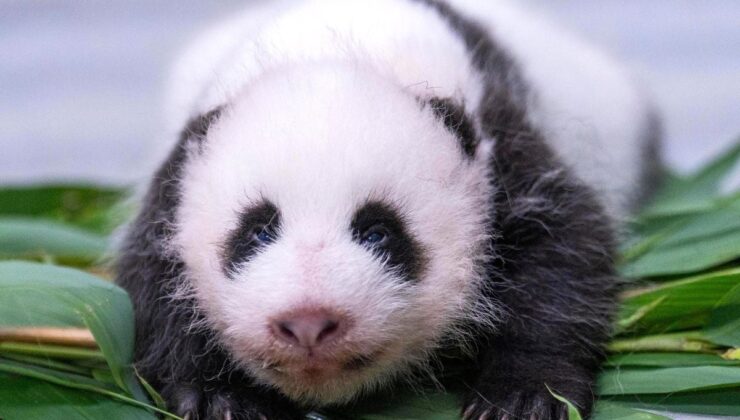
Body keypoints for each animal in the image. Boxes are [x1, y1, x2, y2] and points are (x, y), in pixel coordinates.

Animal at [116, 0, 661, 419]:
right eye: (257, 232)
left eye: (378, 231)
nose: (308, 323)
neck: (339, 45)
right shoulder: (177, 176)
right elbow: (152, 283)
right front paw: (218, 398)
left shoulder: (501, 150)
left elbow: (561, 251)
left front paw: (524, 397)